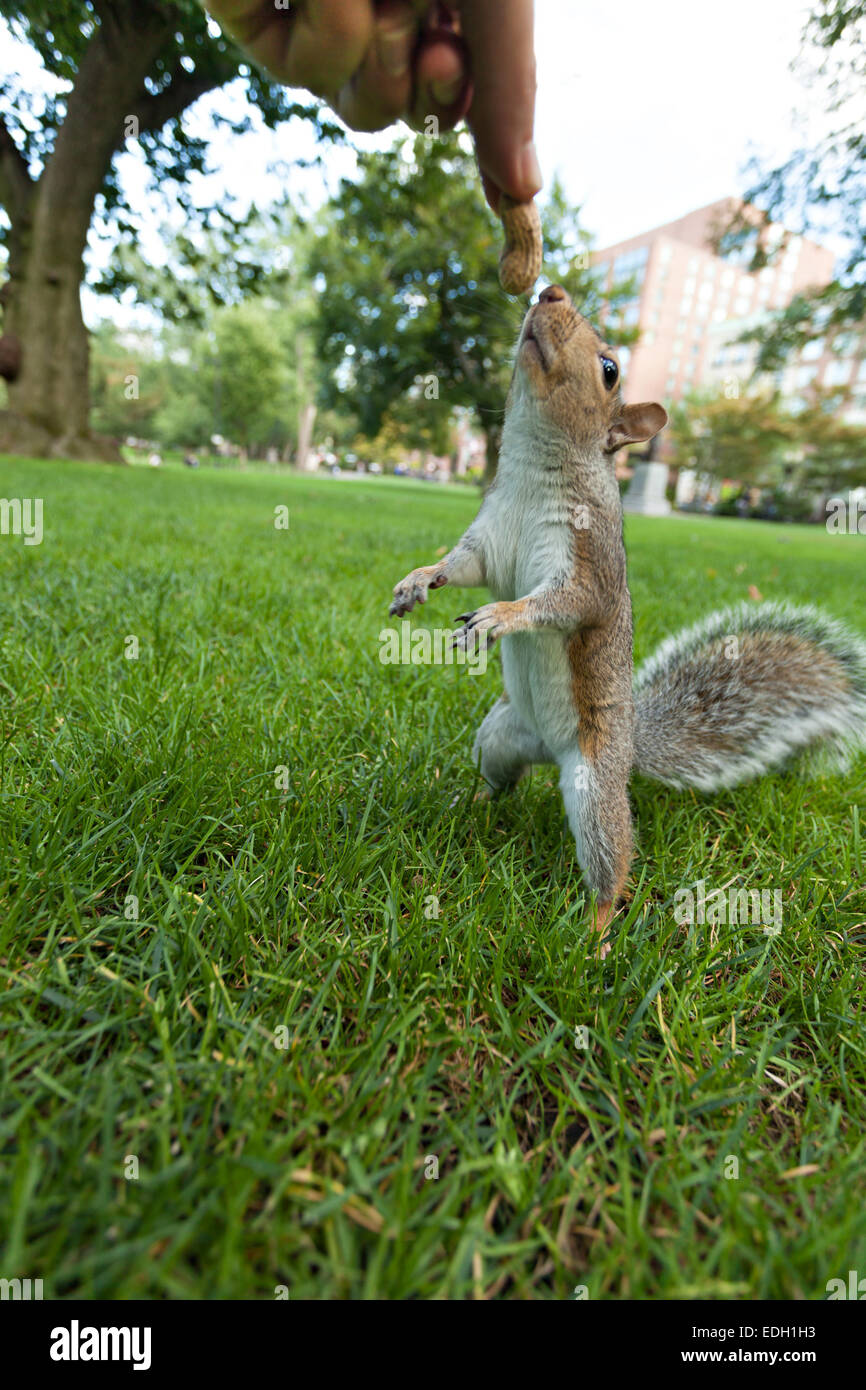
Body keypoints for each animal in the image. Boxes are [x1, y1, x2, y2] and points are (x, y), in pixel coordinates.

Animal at [389, 282, 866, 956]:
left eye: (611, 369)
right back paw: (471, 801)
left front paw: (500, 617)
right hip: (501, 735)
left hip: (595, 790)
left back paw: (594, 932)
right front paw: (416, 581)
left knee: (612, 861)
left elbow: (562, 604)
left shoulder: (591, 561)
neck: (533, 469)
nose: (548, 291)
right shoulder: (487, 539)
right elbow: (457, 567)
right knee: (502, 779)